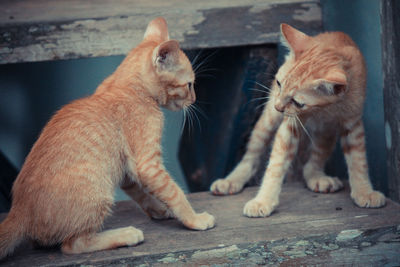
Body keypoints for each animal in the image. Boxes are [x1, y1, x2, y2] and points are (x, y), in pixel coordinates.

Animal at [0, 17, 216, 260]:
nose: (194, 99)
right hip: (98, 192)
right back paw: (125, 234)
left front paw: (159, 208)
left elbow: (141, 192)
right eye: (189, 85)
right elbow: (174, 192)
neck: (125, 85)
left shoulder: (126, 169)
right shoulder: (148, 164)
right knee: (72, 245)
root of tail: (19, 210)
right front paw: (194, 219)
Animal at [211, 23, 386, 218]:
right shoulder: (289, 127)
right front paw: (263, 200)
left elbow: (358, 160)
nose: (278, 107)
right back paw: (231, 181)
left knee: (313, 161)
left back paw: (317, 177)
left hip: (326, 131)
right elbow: (275, 165)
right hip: (267, 122)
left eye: (297, 102)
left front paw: (364, 191)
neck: (323, 109)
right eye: (279, 83)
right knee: (252, 155)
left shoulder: (352, 123)